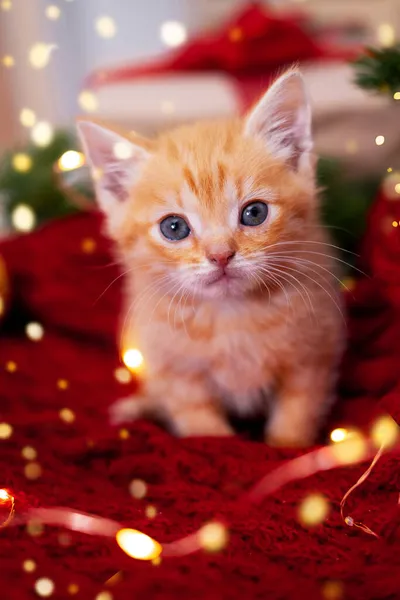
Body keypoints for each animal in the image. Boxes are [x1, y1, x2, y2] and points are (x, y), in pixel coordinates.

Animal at [77, 69, 344, 446]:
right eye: (174, 227)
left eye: (254, 213)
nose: (221, 255)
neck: (231, 316)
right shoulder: (175, 369)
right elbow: (202, 427)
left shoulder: (313, 353)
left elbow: (298, 411)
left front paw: (287, 445)